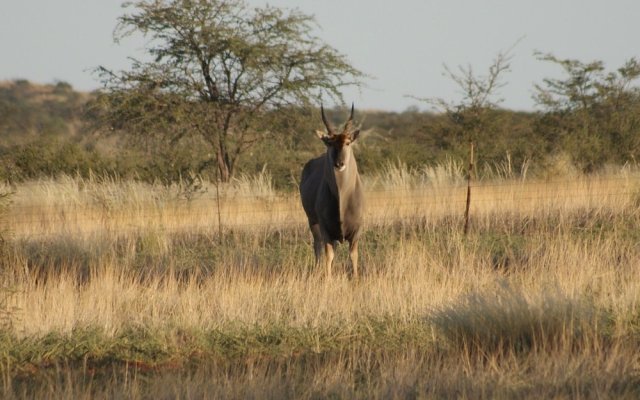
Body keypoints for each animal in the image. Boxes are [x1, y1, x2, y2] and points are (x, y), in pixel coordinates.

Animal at [298, 104, 362, 278]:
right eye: (330, 143)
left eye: (348, 142)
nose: (339, 164)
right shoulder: (325, 229)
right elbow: (328, 255)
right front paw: (327, 279)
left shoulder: (356, 231)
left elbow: (353, 255)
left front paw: (356, 278)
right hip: (312, 222)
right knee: (317, 246)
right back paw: (317, 270)